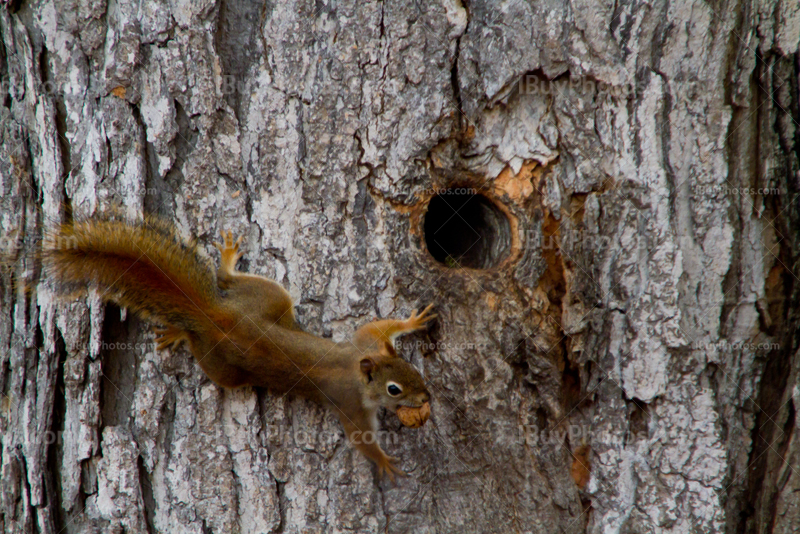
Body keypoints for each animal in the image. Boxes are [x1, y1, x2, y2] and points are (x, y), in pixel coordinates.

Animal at [44, 218, 434, 482]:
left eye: (414, 370)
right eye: (393, 390)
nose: (426, 397)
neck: (359, 371)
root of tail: (214, 316)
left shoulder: (365, 344)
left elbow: (376, 326)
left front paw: (413, 321)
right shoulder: (351, 404)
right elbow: (361, 438)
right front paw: (384, 462)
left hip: (266, 300)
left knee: (230, 281)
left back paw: (228, 261)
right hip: (223, 366)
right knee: (202, 337)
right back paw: (181, 329)